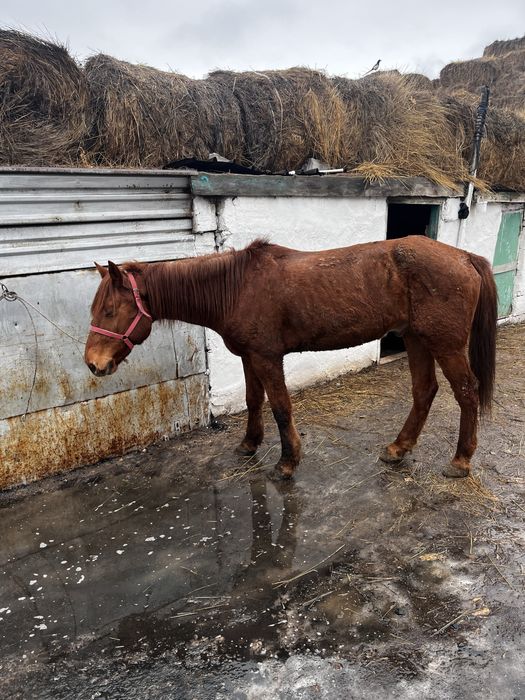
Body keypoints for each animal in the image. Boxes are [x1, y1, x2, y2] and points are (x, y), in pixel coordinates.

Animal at [85, 236, 497, 480]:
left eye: (109, 310)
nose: (93, 364)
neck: (237, 287)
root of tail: (464, 256)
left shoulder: (267, 358)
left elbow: (281, 407)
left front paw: (286, 462)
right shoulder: (249, 357)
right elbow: (254, 401)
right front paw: (249, 444)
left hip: (444, 344)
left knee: (467, 392)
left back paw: (460, 460)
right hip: (416, 338)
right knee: (424, 391)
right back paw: (398, 448)